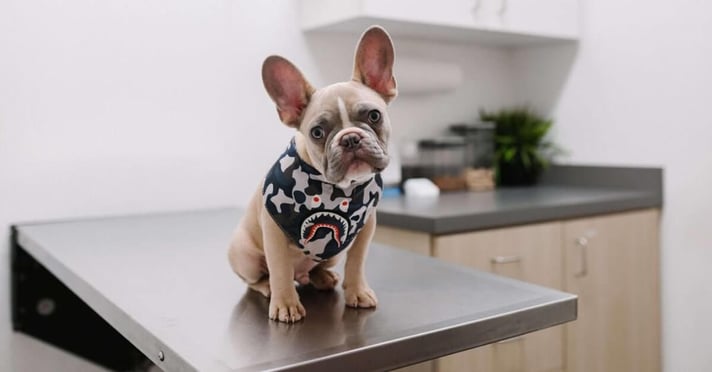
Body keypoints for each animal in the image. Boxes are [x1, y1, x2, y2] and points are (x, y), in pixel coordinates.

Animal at [227, 26, 394, 322]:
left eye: (374, 116)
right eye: (317, 132)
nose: (350, 138)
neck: (338, 191)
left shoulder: (365, 228)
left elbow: (357, 261)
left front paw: (357, 292)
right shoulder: (274, 231)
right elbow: (280, 269)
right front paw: (285, 304)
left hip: (331, 254)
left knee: (315, 268)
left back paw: (323, 277)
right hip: (243, 254)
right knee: (257, 278)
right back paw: (267, 287)